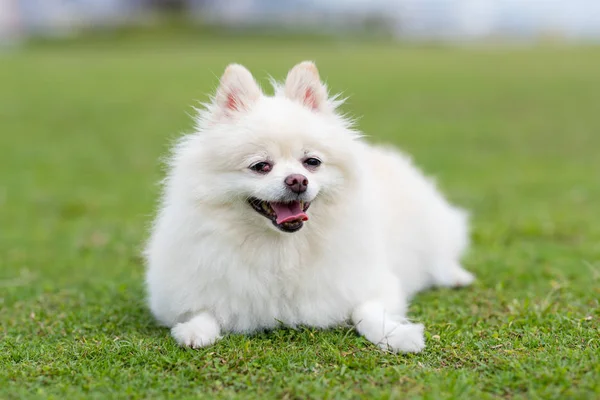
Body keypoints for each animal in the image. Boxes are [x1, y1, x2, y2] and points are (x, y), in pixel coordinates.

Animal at [145, 61, 474, 352]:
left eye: (311, 162)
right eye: (261, 166)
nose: (297, 180)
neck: (282, 251)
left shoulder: (370, 282)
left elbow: (366, 311)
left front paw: (397, 336)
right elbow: (203, 309)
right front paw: (194, 330)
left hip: (432, 225)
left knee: (441, 254)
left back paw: (456, 276)